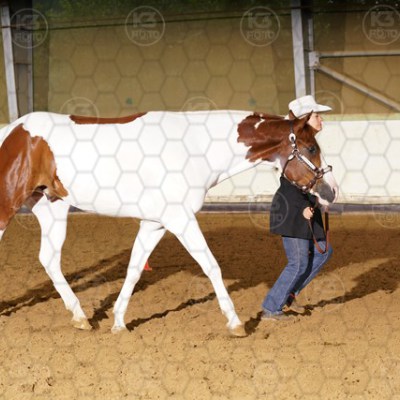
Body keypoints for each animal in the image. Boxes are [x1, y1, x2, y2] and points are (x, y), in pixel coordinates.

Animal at [0, 110, 338, 337]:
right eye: (311, 148)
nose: (331, 191)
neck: (195, 146)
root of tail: (12, 130)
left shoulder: (154, 223)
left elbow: (134, 270)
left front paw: (119, 322)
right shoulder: (181, 219)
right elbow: (212, 266)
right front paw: (235, 323)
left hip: (52, 208)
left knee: (49, 260)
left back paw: (81, 316)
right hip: (8, 205)